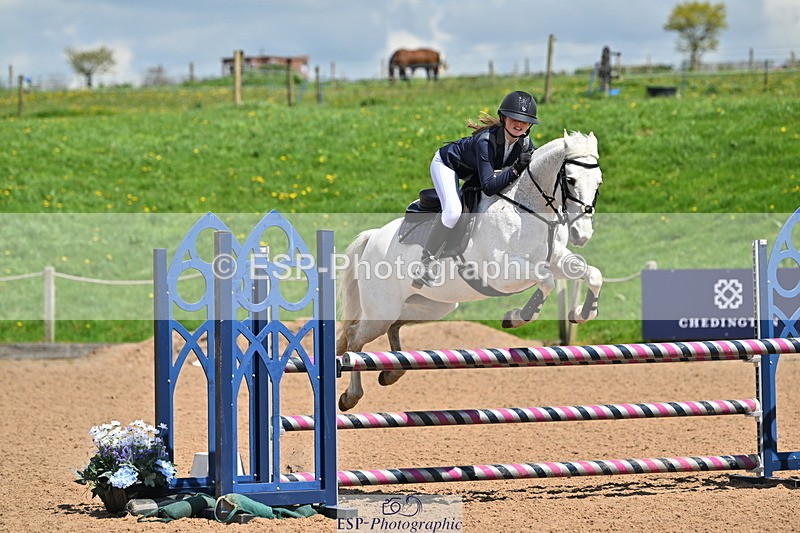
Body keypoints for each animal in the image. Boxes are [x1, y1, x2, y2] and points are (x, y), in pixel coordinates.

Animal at [336, 131, 604, 411]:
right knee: (355, 338)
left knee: (394, 326)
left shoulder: (556, 258)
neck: (529, 209)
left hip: (431, 306)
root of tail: (373, 237)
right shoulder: (503, 272)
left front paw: (582, 313)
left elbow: (592, 274)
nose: (582, 235)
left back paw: (391, 372)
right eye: (570, 180)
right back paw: (350, 396)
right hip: (381, 310)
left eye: (598, 182)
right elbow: (547, 281)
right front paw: (517, 317)